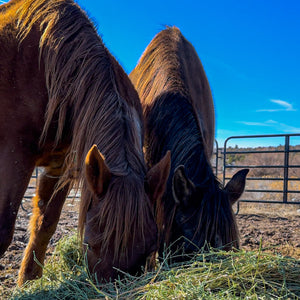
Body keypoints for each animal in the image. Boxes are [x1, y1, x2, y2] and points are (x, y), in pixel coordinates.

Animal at [0, 0, 171, 286]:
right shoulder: (14, 156)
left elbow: (45, 223)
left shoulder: (59, 167)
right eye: (89, 244)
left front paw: (28, 280)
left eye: (150, 248)